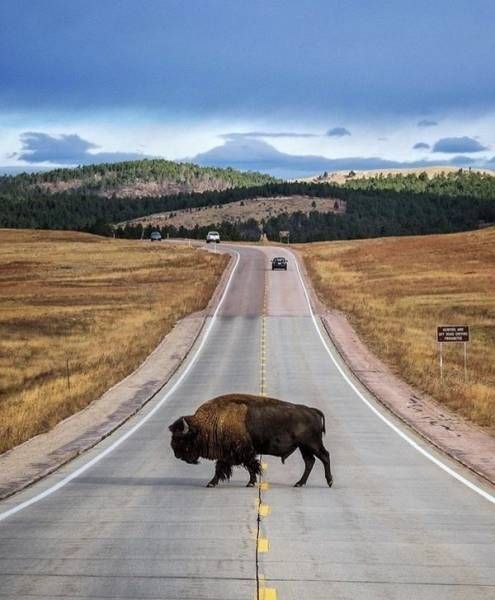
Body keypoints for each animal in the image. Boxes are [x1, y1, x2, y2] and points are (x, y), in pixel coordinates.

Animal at [170, 394, 334, 488]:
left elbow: (246, 466)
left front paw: (211, 483)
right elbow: (235, 467)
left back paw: (329, 482)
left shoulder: (241, 452)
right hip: (303, 447)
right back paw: (299, 483)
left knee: (324, 456)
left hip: (312, 444)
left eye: (181, 438)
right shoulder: (233, 454)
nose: (176, 454)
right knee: (310, 462)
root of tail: (312, 411)